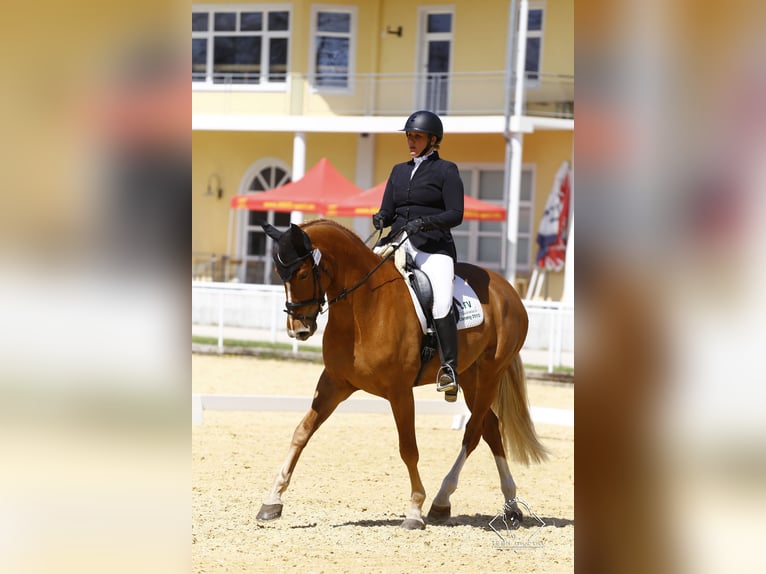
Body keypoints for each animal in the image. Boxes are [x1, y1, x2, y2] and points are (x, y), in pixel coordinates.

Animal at [260, 220, 548, 532]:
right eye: (280, 274)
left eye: (302, 273)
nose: (297, 330)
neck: (364, 306)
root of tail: (506, 289)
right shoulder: (335, 383)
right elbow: (302, 432)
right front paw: (272, 500)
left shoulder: (399, 391)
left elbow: (408, 448)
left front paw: (414, 510)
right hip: (472, 378)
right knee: (491, 428)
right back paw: (510, 506)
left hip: (490, 375)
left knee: (473, 433)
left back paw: (442, 500)